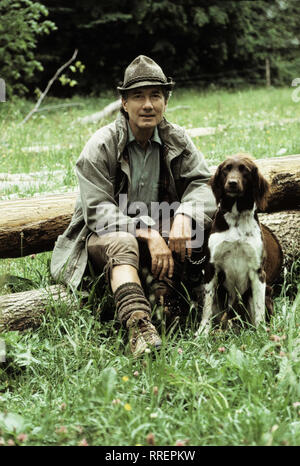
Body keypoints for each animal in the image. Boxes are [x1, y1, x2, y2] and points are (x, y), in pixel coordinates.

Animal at [196, 154, 282, 334]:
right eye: (226, 169)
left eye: (245, 170)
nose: (232, 183)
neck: (236, 219)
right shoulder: (211, 267)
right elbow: (206, 309)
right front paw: (202, 333)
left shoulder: (258, 271)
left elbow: (259, 310)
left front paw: (260, 333)